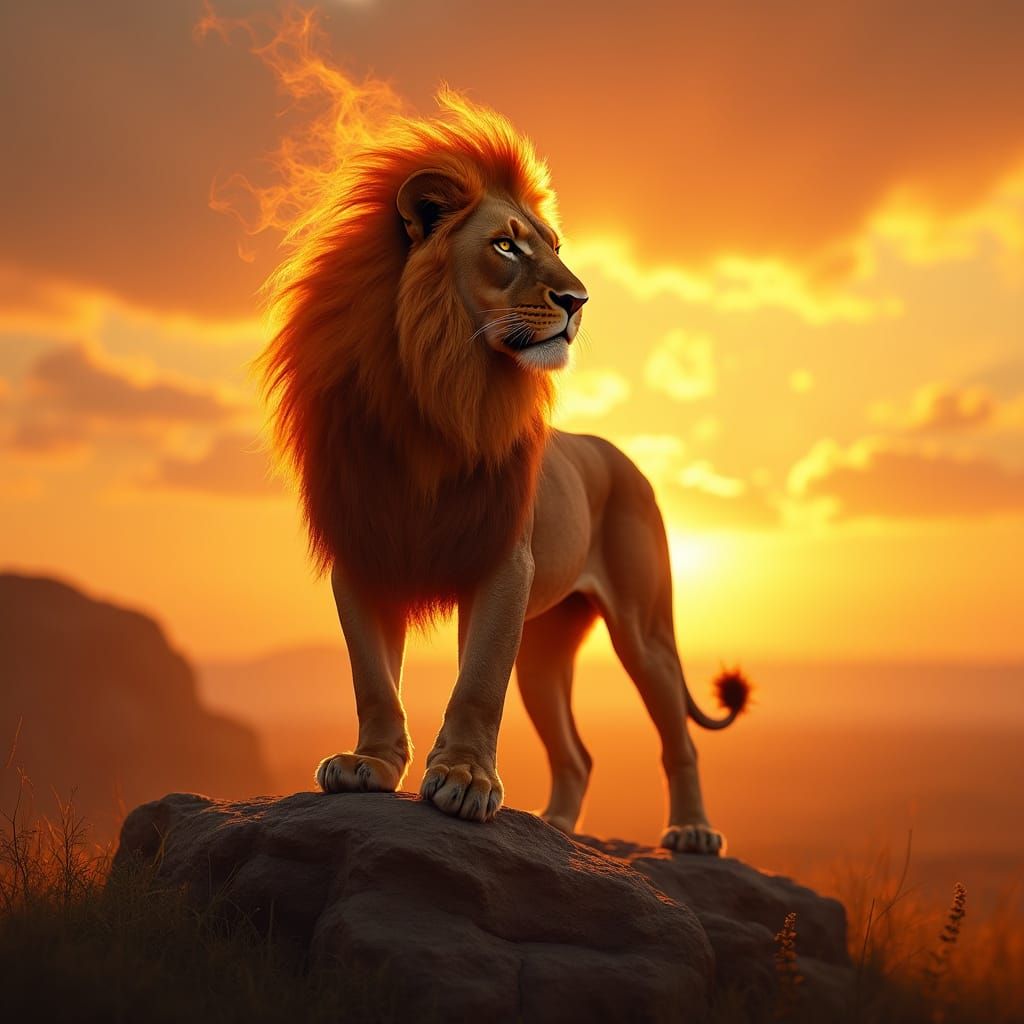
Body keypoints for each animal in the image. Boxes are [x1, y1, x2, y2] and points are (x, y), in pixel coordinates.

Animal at [259, 93, 748, 854]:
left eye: (555, 246)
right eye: (507, 245)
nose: (579, 301)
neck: (432, 390)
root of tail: (621, 456)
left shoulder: (500, 562)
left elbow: (478, 683)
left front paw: (464, 781)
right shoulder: (364, 553)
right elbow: (373, 678)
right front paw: (370, 765)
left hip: (644, 627)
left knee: (679, 738)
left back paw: (693, 832)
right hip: (546, 647)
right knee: (577, 752)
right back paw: (556, 827)